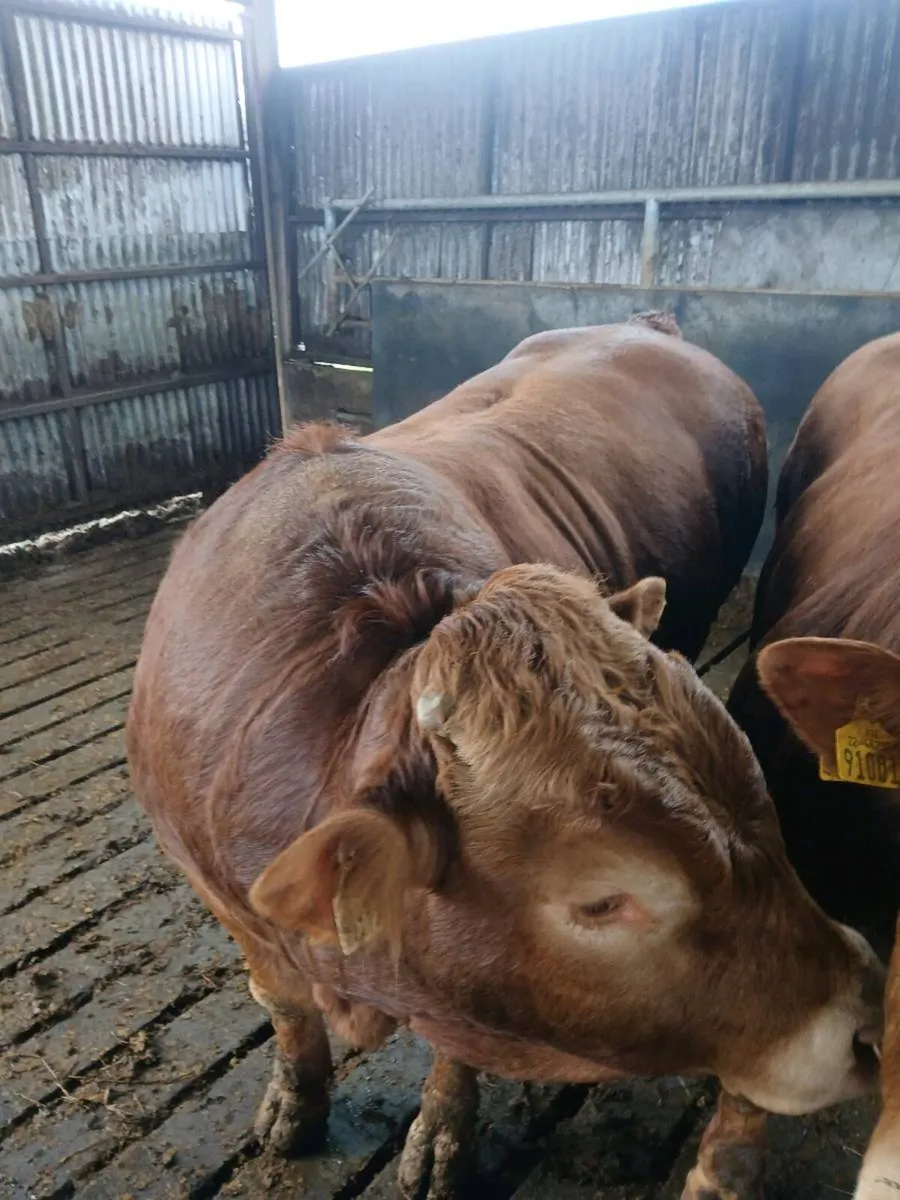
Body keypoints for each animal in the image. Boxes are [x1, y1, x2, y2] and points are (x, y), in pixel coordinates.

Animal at [127, 317, 882, 1200]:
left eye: (757, 795)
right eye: (602, 901)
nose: (863, 1019)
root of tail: (646, 322)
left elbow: (454, 1055)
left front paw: (442, 1137)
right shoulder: (224, 900)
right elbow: (284, 1007)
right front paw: (295, 1100)